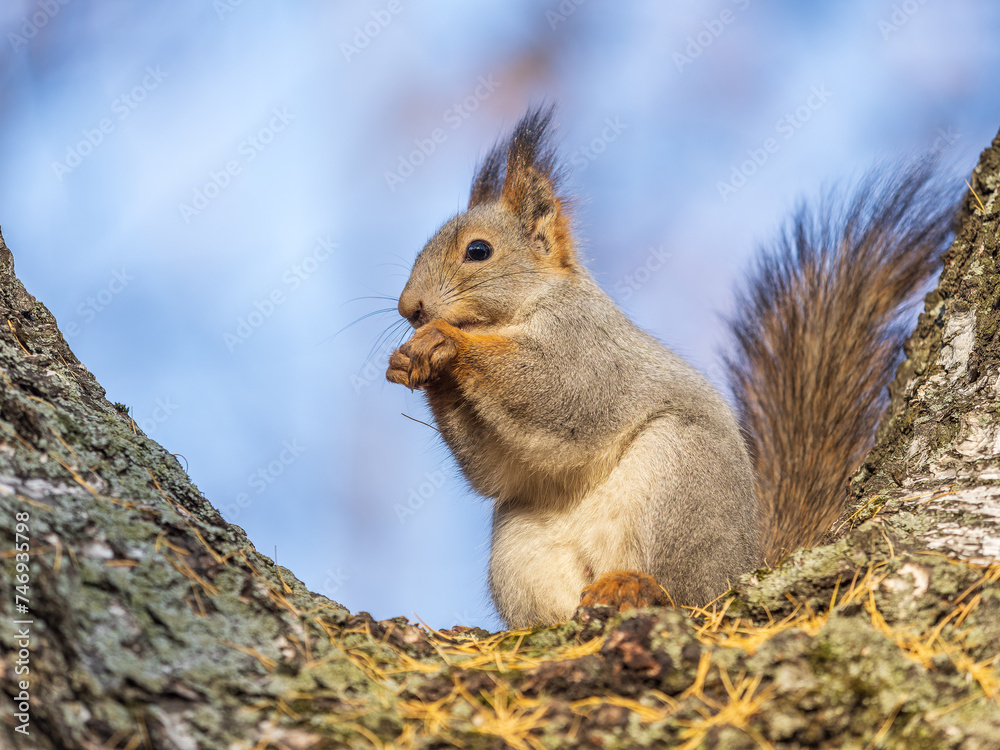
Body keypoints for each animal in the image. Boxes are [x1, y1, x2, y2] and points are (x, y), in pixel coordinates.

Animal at [385, 105, 958, 628]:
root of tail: (744, 567)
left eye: (479, 250)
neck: (519, 312)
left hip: (679, 478)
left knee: (682, 592)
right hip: (521, 541)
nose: (409, 309)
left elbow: (560, 396)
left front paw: (444, 341)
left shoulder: (588, 350)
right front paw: (412, 361)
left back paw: (638, 586)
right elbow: (495, 470)